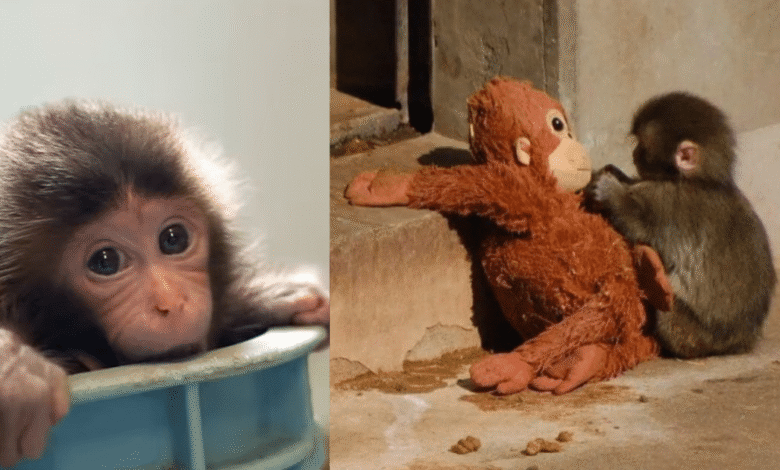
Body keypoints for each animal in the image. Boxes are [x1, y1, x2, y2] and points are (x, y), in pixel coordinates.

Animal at [584, 92, 775, 360]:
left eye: (642, 146)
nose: (634, 154)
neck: (700, 180)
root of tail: (737, 344)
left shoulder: (667, 202)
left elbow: (639, 227)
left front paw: (611, 192)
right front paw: (617, 174)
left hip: (690, 335)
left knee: (667, 312)